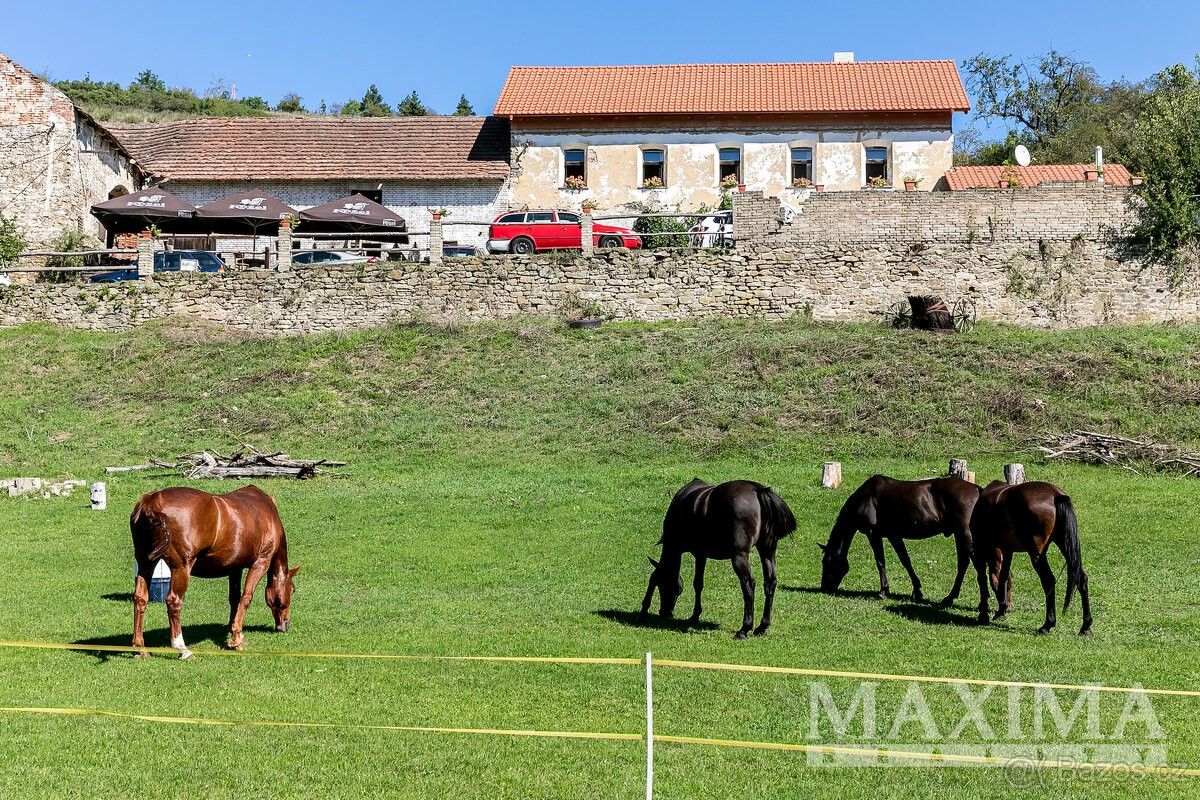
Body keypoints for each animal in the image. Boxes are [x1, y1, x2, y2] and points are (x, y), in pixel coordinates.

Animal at [129, 484, 300, 662]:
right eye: (292, 590)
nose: (285, 624)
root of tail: (152, 501)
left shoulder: (235, 568)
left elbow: (235, 598)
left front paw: (233, 631)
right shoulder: (261, 562)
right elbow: (246, 597)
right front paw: (236, 639)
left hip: (145, 563)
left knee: (140, 599)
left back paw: (140, 648)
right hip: (181, 567)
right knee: (174, 602)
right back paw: (182, 649)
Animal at [638, 479, 796, 642]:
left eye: (661, 585)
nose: (666, 612)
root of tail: (758, 490)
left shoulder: (697, 553)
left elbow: (696, 583)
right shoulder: (701, 554)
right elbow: (698, 584)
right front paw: (695, 616)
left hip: (739, 556)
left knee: (748, 585)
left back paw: (744, 629)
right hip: (767, 551)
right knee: (770, 582)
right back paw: (762, 627)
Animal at [820, 474, 988, 606]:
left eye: (827, 562)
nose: (824, 588)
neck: (866, 498)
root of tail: (977, 490)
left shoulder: (873, 534)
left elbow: (880, 561)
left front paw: (883, 591)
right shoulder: (894, 535)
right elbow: (905, 560)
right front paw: (917, 591)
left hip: (965, 535)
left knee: (977, 566)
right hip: (959, 535)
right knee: (963, 564)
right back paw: (949, 598)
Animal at [969, 482, 1094, 638]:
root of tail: (1055, 495)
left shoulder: (982, 550)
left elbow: (984, 580)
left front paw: (984, 613)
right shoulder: (1007, 549)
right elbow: (1004, 577)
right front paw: (1001, 609)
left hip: (1037, 554)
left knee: (1048, 580)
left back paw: (1047, 625)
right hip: (1065, 545)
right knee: (1081, 578)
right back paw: (1085, 626)